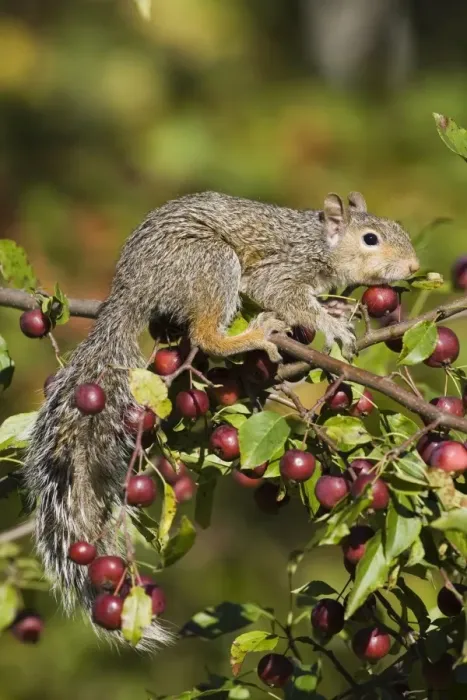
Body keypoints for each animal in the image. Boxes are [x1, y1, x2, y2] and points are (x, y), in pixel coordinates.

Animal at [23, 190, 419, 649]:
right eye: (371, 238)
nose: (413, 267)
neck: (321, 241)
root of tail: (131, 289)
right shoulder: (282, 268)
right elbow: (280, 292)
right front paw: (328, 322)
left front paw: (335, 306)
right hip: (210, 263)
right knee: (205, 335)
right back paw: (255, 335)